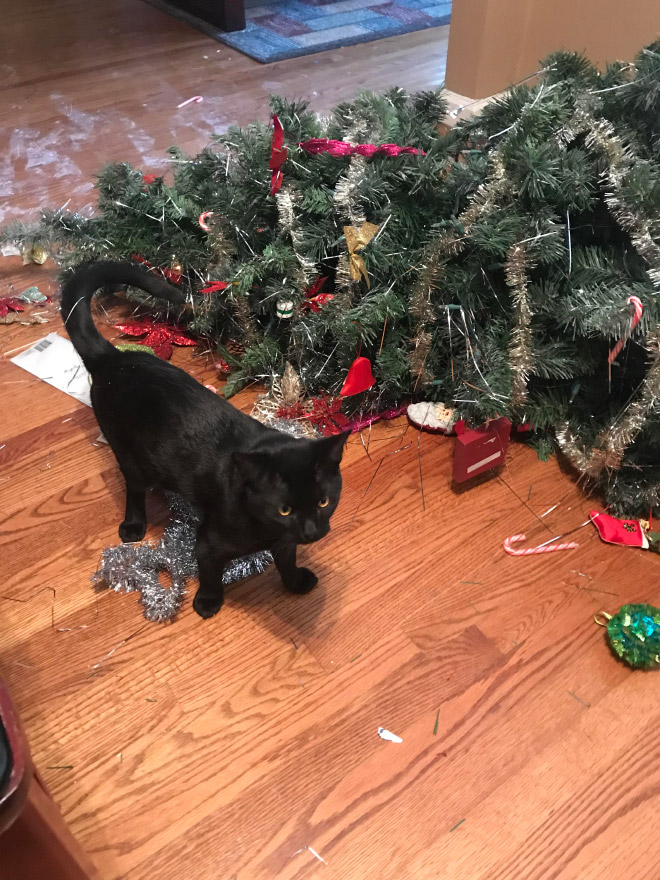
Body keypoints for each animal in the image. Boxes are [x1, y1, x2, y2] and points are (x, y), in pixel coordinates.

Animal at [60, 262, 350, 620]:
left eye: (324, 502)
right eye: (284, 509)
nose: (311, 531)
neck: (265, 525)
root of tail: (115, 359)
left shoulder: (284, 540)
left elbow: (286, 559)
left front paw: (295, 583)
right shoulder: (209, 542)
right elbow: (210, 572)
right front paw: (208, 603)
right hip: (126, 452)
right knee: (134, 487)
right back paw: (133, 525)